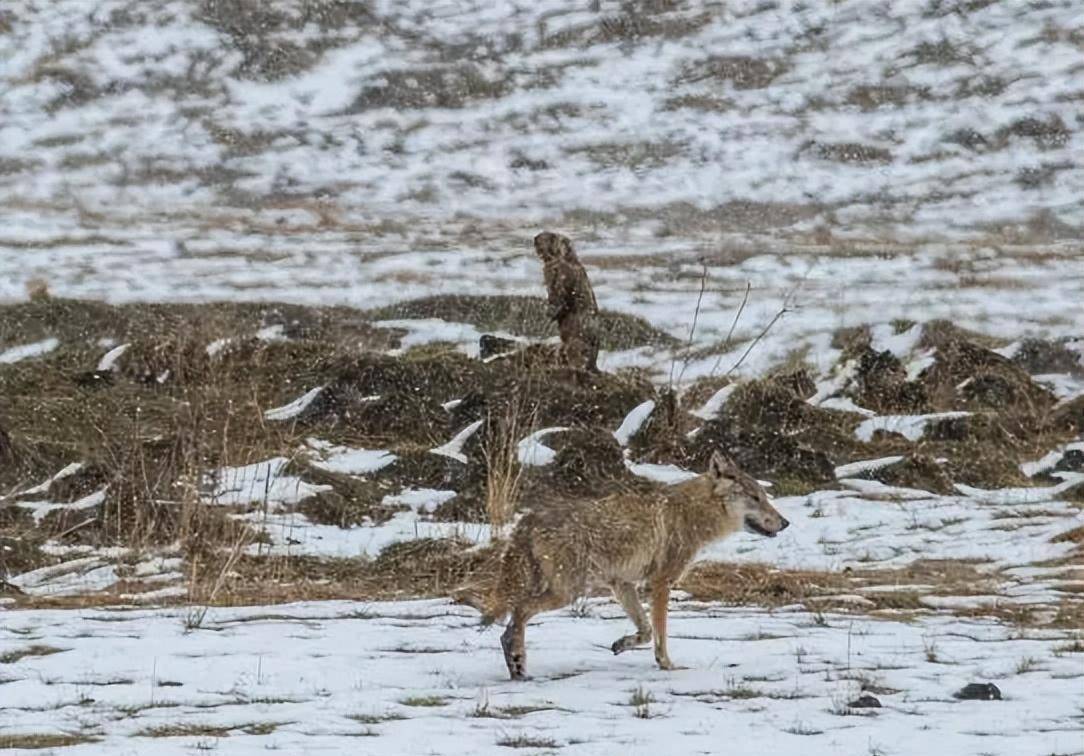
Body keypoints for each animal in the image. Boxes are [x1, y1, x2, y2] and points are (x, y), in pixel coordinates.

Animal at [455, 449, 789, 676]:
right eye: (755, 498)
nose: (785, 522)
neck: (692, 513)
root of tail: (527, 520)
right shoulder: (660, 583)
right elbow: (660, 634)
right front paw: (667, 665)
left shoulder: (623, 584)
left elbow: (646, 631)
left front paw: (622, 644)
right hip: (567, 593)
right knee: (519, 614)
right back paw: (518, 662)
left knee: (508, 624)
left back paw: (516, 667)